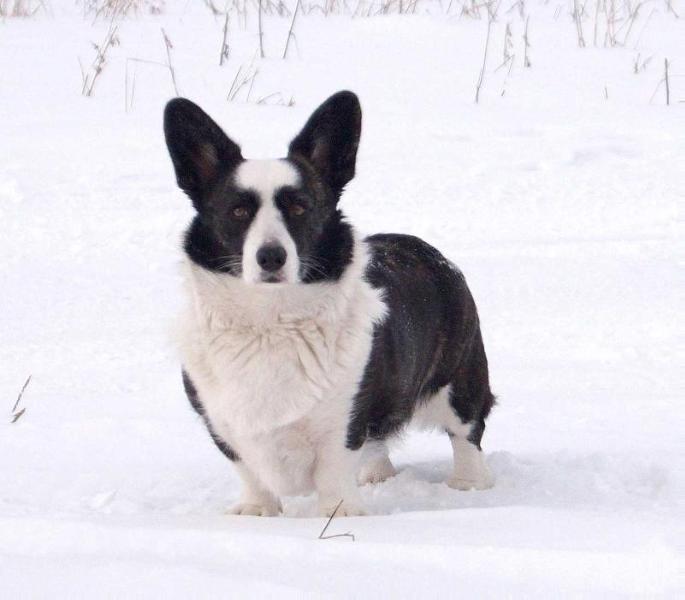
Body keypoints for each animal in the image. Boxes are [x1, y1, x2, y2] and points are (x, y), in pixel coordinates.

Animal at [166, 90, 496, 516]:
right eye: (237, 211)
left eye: (300, 207)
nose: (270, 257)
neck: (269, 322)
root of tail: (431, 253)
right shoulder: (221, 422)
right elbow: (250, 472)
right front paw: (257, 514)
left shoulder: (344, 420)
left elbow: (335, 471)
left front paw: (340, 515)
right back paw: (376, 477)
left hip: (459, 380)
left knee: (466, 432)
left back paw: (468, 487)